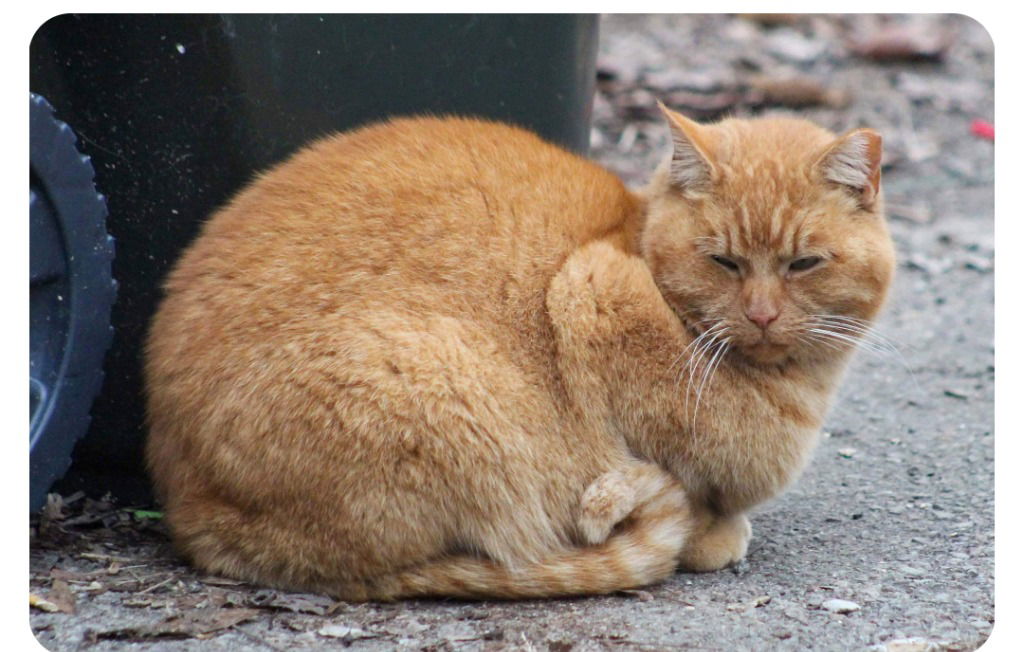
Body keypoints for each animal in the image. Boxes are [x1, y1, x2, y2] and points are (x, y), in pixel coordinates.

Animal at [146, 105, 897, 601]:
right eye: (724, 262)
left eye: (803, 264)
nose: (762, 315)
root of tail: (187, 503)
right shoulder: (592, 288)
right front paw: (712, 528)